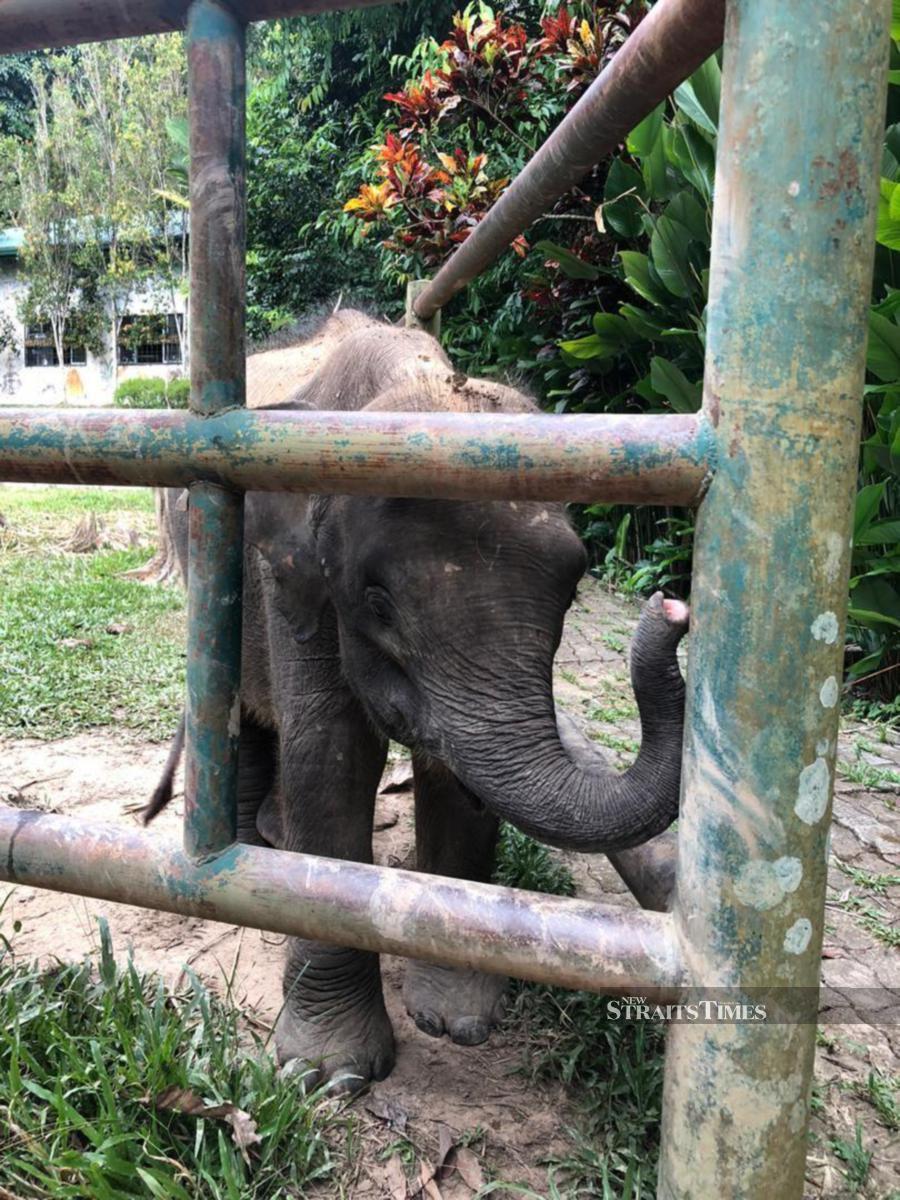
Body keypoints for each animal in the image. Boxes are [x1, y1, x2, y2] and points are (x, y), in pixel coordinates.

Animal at [150, 307, 691, 1089]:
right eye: (378, 604)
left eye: (572, 591)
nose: (672, 607)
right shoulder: (296, 581)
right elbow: (332, 755)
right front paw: (331, 1075)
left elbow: (451, 774)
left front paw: (457, 1022)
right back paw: (253, 856)